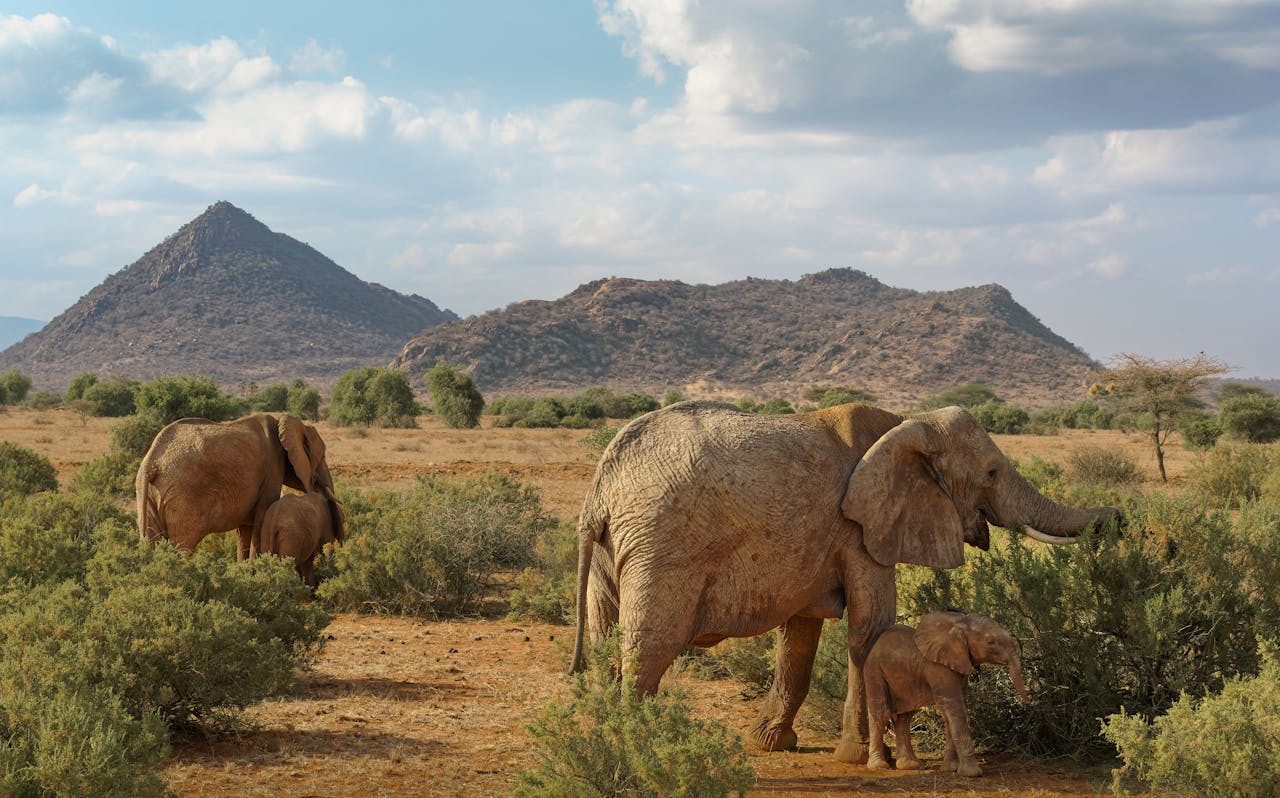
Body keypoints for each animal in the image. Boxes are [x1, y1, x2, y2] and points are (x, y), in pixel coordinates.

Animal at [136, 413, 336, 559]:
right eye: (323, 456)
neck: (283, 421)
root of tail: (152, 461)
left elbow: (244, 530)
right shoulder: (272, 470)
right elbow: (261, 520)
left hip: (149, 495)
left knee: (153, 540)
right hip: (183, 497)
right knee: (182, 545)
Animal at [864, 611, 1028, 777]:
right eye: (990, 641)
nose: (1026, 700)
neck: (960, 623)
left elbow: (950, 712)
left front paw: (951, 768)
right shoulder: (939, 667)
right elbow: (955, 708)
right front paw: (972, 773)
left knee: (905, 717)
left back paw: (910, 765)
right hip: (874, 670)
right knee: (881, 713)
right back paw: (879, 766)